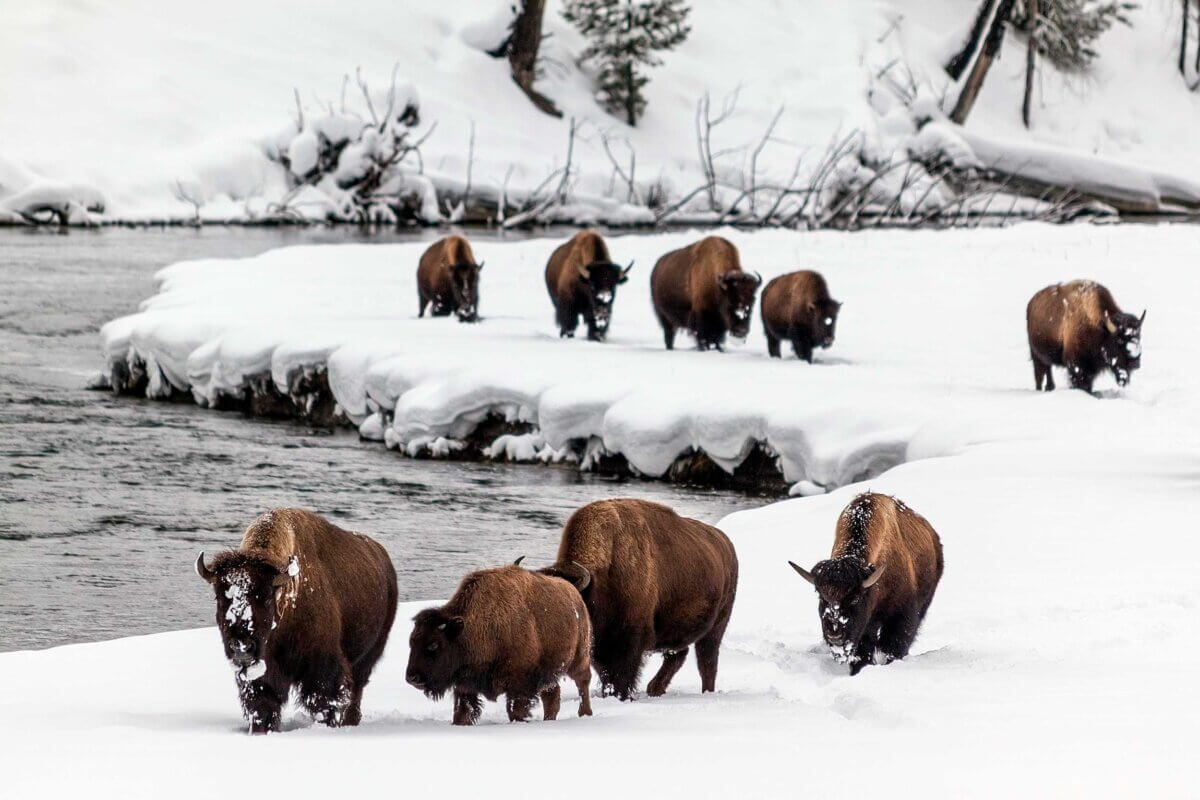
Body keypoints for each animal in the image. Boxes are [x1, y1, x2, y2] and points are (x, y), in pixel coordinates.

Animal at [195, 508, 398, 733]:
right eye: (220, 597)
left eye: (266, 596)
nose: (241, 647)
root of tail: (382, 556)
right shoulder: (263, 673)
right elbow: (263, 704)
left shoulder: (322, 665)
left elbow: (325, 700)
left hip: (368, 655)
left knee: (357, 690)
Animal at [405, 564, 593, 725]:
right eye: (411, 642)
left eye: (433, 645)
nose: (412, 678)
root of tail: (574, 592)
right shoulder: (465, 686)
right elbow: (463, 711)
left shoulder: (520, 684)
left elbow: (516, 711)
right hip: (549, 673)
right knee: (552, 696)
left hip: (579, 657)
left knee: (582, 681)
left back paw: (585, 714)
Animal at [538, 499, 738, 700]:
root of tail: (727, 544)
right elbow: (607, 675)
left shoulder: (630, 639)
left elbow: (623, 675)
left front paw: (621, 696)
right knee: (679, 654)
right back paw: (655, 689)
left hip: (717, 626)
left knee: (707, 662)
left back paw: (705, 692)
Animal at [789, 492, 943, 676]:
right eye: (821, 597)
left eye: (855, 598)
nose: (835, 635)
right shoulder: (864, 628)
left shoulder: (902, 615)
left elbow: (894, 644)